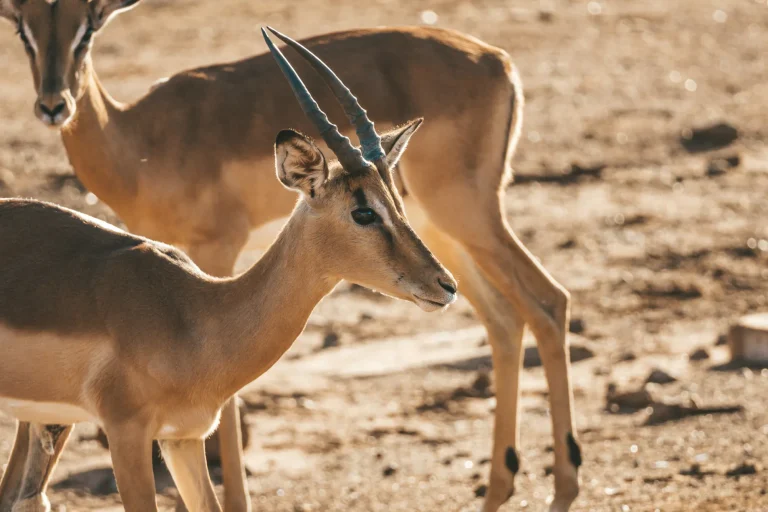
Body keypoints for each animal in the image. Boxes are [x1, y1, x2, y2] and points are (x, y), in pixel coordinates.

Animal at [0, 0, 582, 510]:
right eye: (362, 211)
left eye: (394, 200)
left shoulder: (181, 438)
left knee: (534, 306)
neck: (192, 315)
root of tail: (499, 61)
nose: (442, 286)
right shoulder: (131, 434)